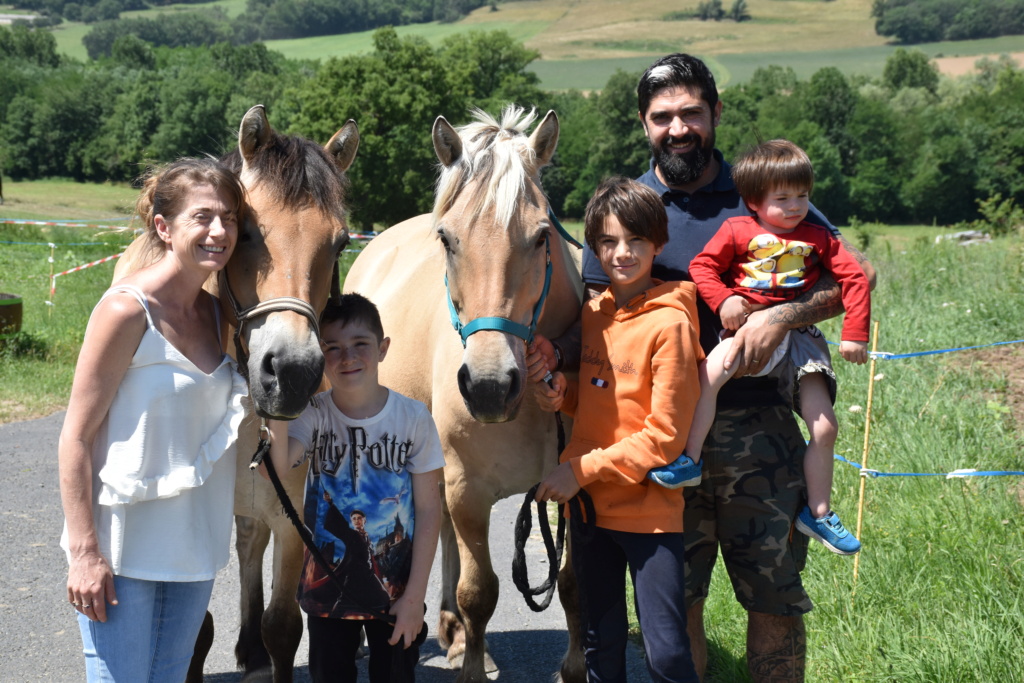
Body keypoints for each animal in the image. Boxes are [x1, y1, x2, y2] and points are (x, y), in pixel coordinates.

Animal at [112, 104, 358, 679]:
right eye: (244, 230)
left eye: (340, 242)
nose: (291, 372)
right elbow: (193, 634)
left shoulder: (292, 517)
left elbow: (283, 627)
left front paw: (264, 643)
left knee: (250, 543)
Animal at [344, 107, 585, 683]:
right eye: (448, 240)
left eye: (542, 236)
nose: (490, 387)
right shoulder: (467, 488)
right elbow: (479, 592)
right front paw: (471, 660)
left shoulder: (573, 488)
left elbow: (571, 587)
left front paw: (575, 668)